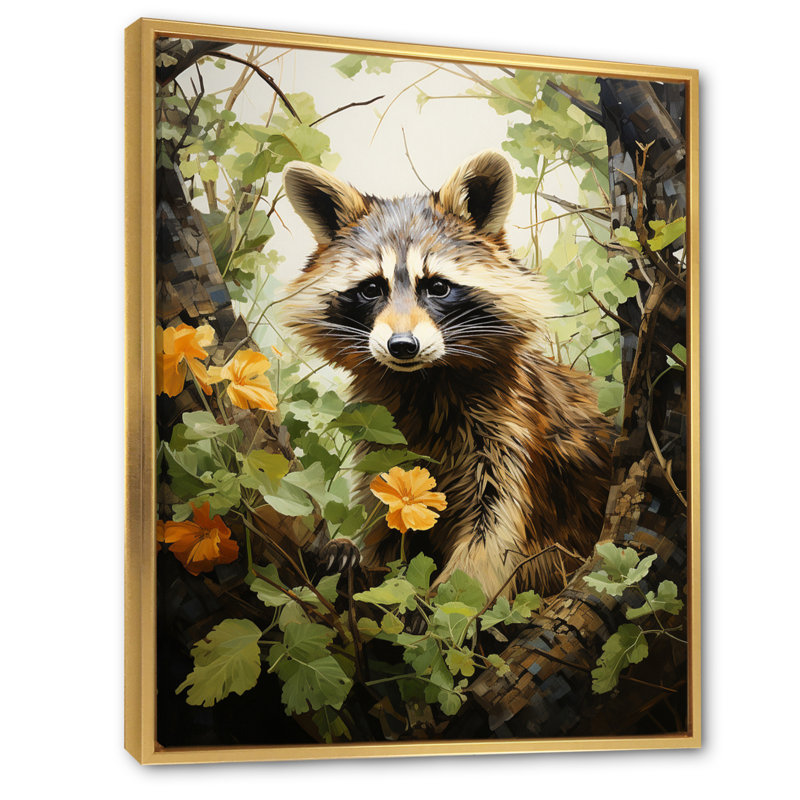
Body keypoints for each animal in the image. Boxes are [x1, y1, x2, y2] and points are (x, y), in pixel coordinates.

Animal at [281, 151, 612, 599]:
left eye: (437, 287)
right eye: (372, 288)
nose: (402, 346)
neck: (423, 381)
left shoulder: (513, 434)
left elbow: (494, 534)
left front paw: (447, 598)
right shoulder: (385, 444)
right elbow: (386, 523)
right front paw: (354, 554)